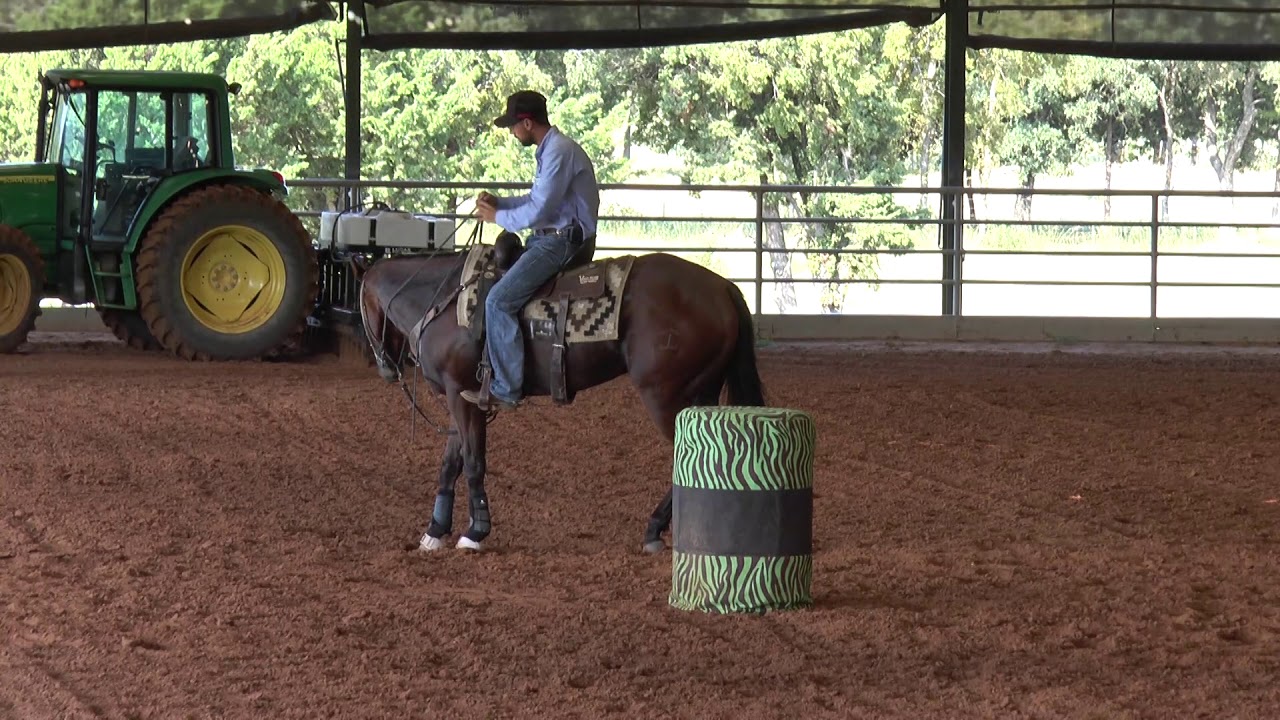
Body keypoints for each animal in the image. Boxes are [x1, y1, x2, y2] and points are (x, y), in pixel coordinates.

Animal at [354, 236, 766, 553]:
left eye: (359, 309)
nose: (386, 367)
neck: (444, 300)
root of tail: (723, 286)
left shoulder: (460, 395)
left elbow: (472, 462)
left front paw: (475, 531)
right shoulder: (465, 398)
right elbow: (450, 463)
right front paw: (435, 531)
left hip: (666, 396)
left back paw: (659, 530)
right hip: (701, 393)